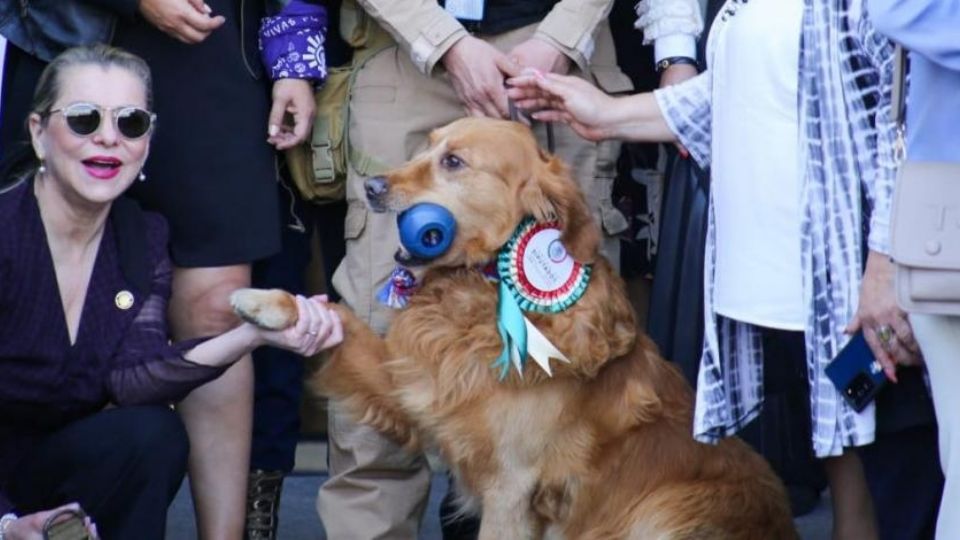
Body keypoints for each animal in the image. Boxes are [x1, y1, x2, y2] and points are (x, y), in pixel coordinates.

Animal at [232, 119, 796, 540]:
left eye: (453, 162)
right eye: (426, 146)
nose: (371, 186)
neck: (480, 293)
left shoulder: (512, 488)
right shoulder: (414, 386)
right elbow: (342, 319)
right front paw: (274, 305)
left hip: (664, 510)